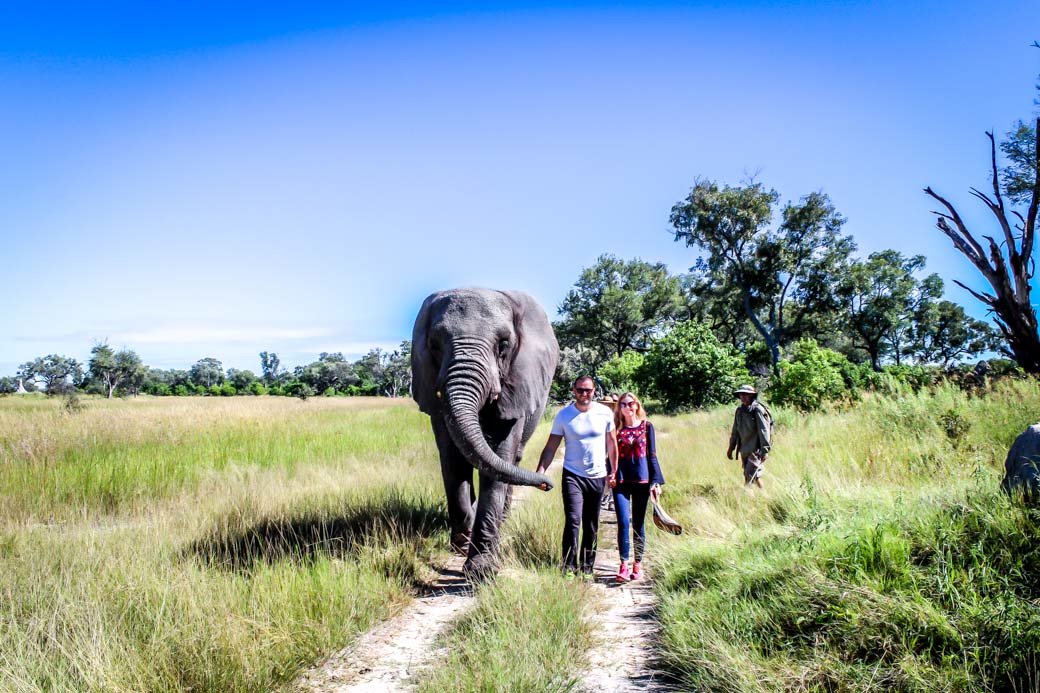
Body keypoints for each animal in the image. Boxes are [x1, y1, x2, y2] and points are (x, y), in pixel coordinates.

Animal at [411, 287, 561, 578]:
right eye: (434, 345)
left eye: (503, 344)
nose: (547, 484)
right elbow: (453, 460)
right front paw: (462, 544)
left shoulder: (518, 381)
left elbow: (498, 456)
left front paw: (481, 570)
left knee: (512, 460)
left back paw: (502, 521)